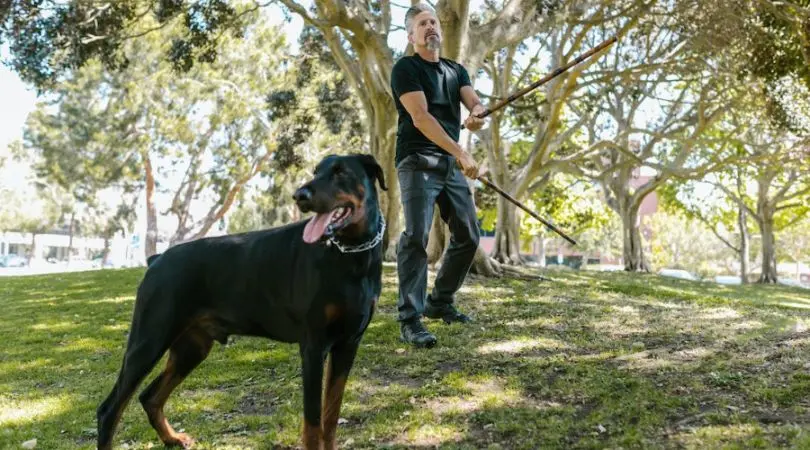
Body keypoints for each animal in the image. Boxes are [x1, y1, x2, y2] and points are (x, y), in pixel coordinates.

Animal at [94, 153, 386, 448]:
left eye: (340, 171)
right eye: (315, 172)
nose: (299, 195)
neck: (351, 255)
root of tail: (156, 260)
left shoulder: (348, 344)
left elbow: (331, 415)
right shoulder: (314, 346)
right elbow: (313, 424)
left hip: (191, 347)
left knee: (149, 396)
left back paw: (173, 437)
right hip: (149, 339)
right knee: (110, 409)